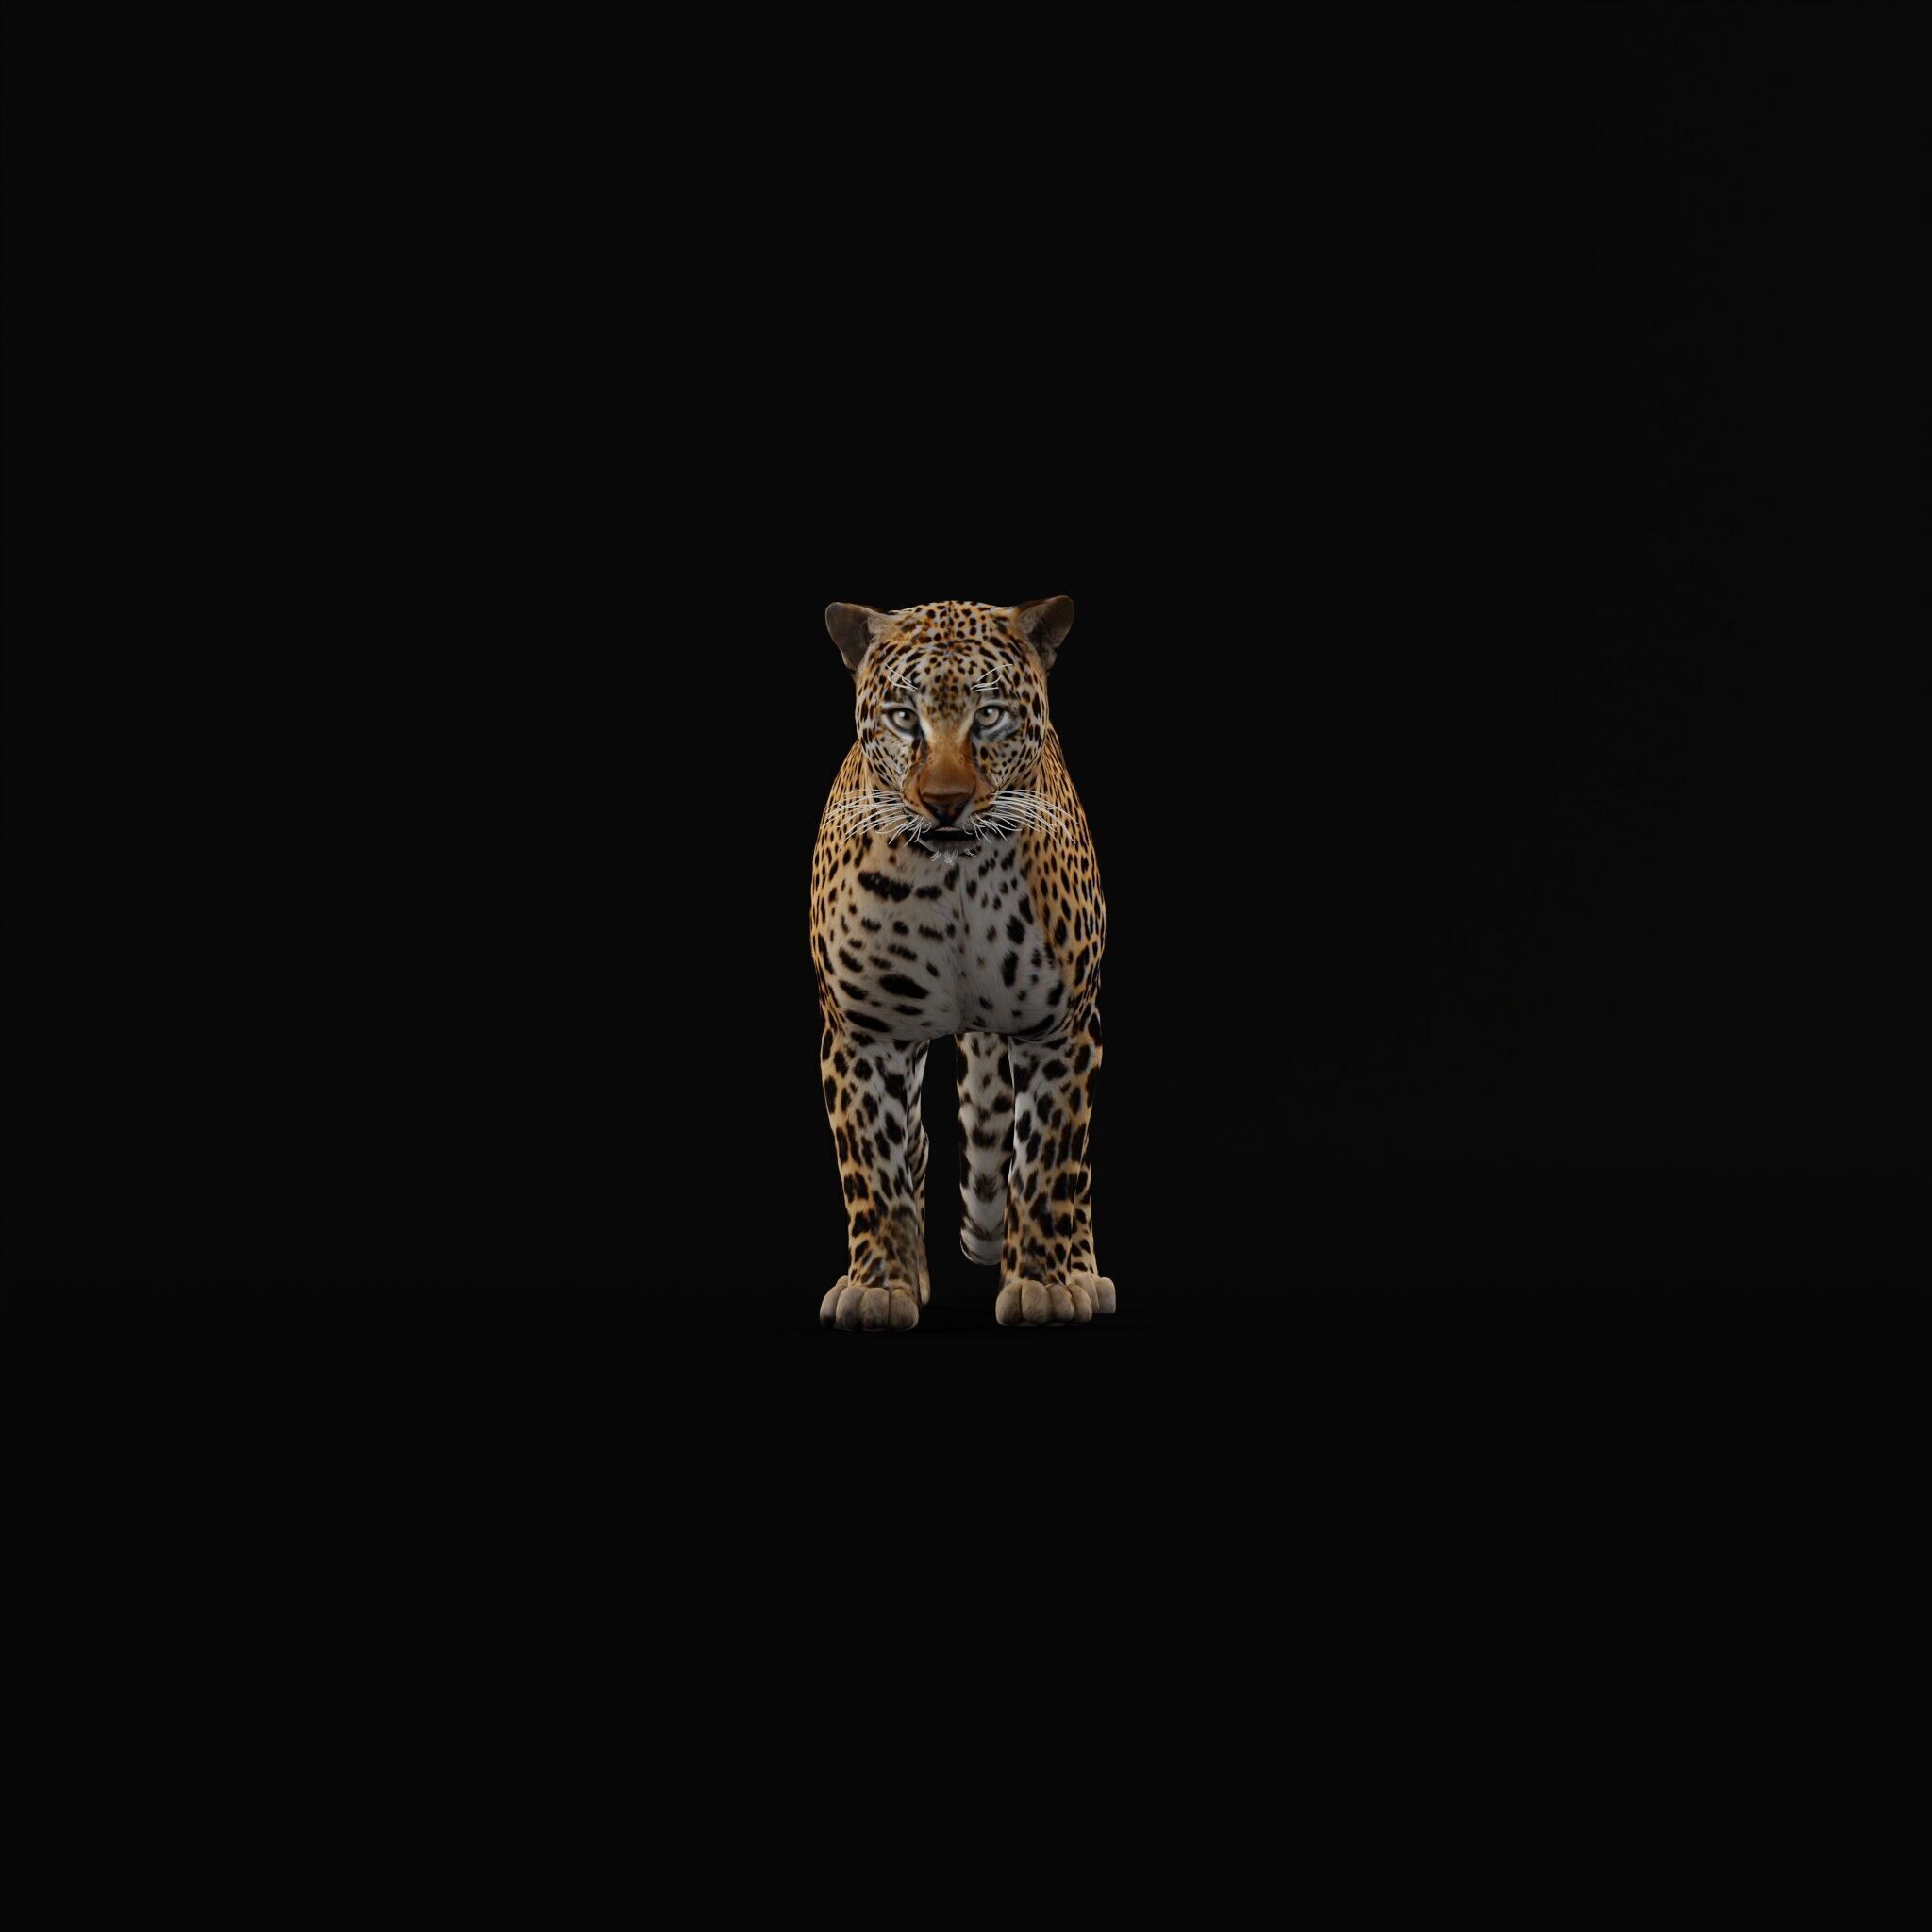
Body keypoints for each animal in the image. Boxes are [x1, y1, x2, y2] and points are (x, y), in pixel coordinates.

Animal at [810, 595, 1116, 1332]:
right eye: (903, 716)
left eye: (990, 714)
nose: (945, 801)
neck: (955, 884)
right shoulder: (864, 1035)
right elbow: (874, 1167)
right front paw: (880, 1287)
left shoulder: (1062, 1033)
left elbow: (1047, 1171)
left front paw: (1042, 1285)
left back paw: (1082, 1272)